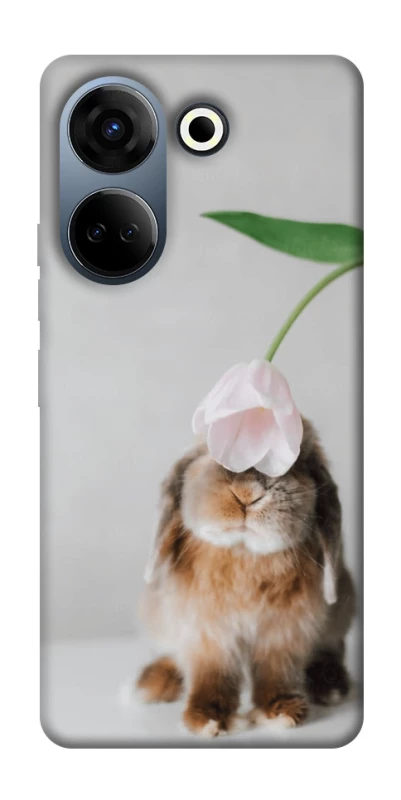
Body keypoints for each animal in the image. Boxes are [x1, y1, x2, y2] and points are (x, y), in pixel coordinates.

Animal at [136, 418, 355, 737]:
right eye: (211, 454)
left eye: (295, 463)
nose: (247, 493)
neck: (244, 551)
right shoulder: (206, 633)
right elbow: (211, 673)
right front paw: (207, 719)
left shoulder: (284, 633)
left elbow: (276, 670)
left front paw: (281, 711)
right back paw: (151, 682)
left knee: (332, 648)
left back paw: (331, 685)